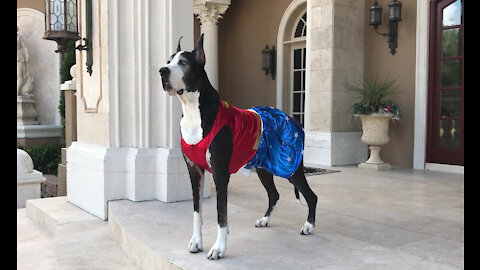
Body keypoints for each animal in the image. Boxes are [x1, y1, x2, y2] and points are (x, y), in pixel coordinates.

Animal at [160, 33, 318, 260]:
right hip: (264, 167)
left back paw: (308, 226)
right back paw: (265, 220)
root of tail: (292, 119)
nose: (162, 71)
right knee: (274, 194)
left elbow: (221, 215)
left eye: (183, 63)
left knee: (311, 196)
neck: (192, 109)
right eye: (168, 61)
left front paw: (218, 248)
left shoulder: (220, 173)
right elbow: (197, 212)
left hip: (291, 167)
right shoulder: (194, 171)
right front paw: (197, 242)